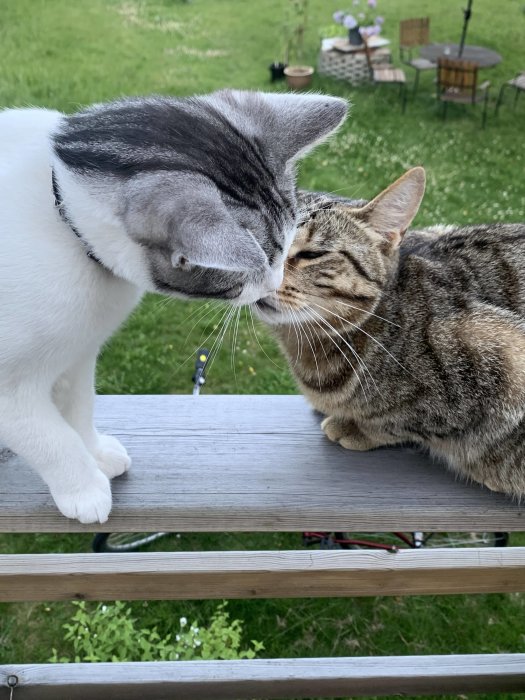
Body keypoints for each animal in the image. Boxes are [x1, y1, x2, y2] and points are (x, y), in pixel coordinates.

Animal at [0, 90, 346, 524]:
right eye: (257, 268)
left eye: (285, 252)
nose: (276, 282)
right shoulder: (11, 389)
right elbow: (49, 435)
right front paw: (83, 488)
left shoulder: (78, 353)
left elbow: (79, 405)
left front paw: (96, 454)